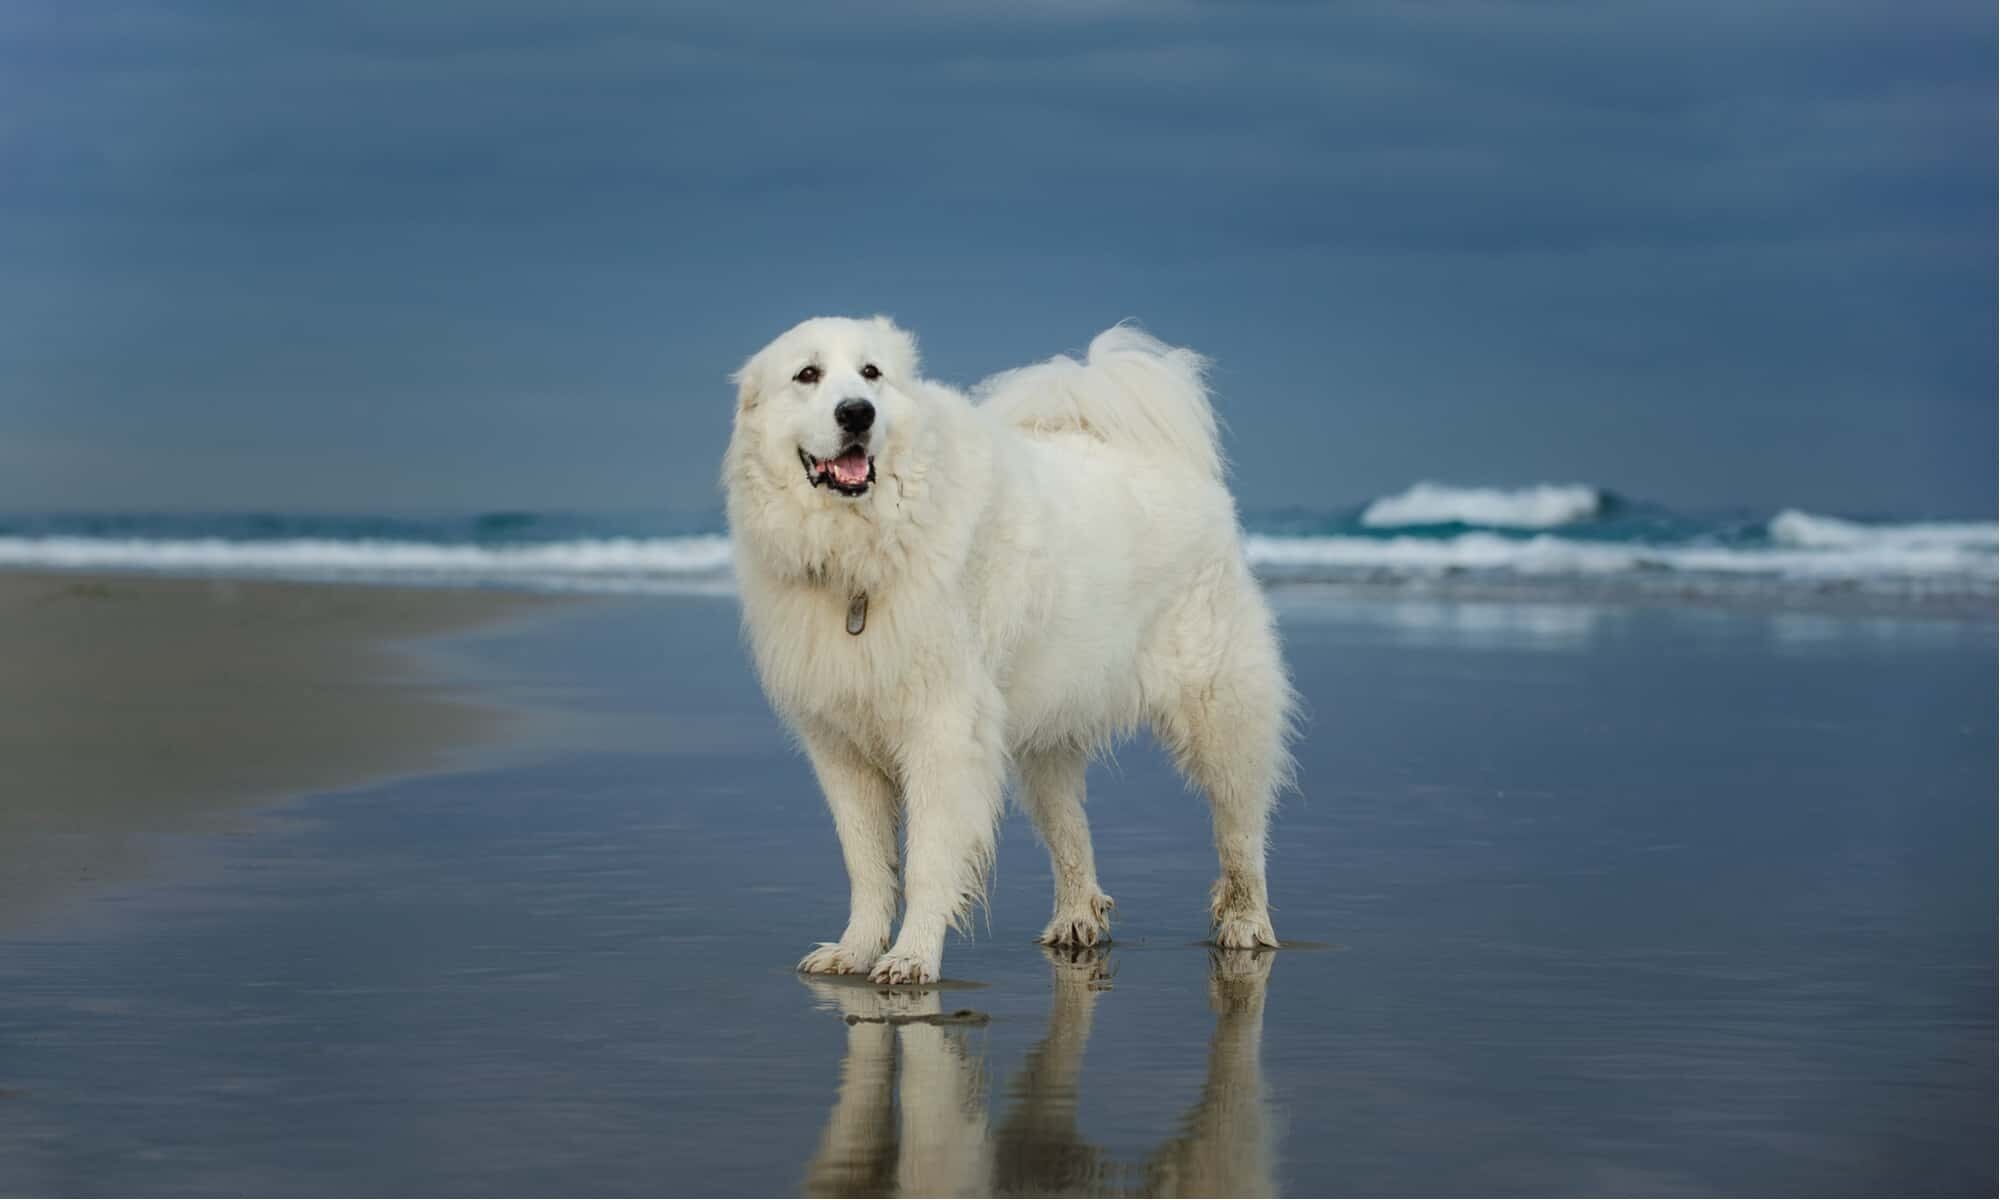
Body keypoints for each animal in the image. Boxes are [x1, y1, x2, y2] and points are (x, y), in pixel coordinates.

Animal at [728, 318, 1288, 984]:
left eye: (871, 374)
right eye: (807, 375)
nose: (858, 413)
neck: (865, 551)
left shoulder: (942, 732)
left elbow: (927, 861)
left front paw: (912, 957)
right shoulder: (840, 745)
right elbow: (866, 863)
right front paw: (855, 950)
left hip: (1218, 711)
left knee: (1240, 826)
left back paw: (1246, 925)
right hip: (1048, 734)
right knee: (1070, 833)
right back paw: (1077, 921)